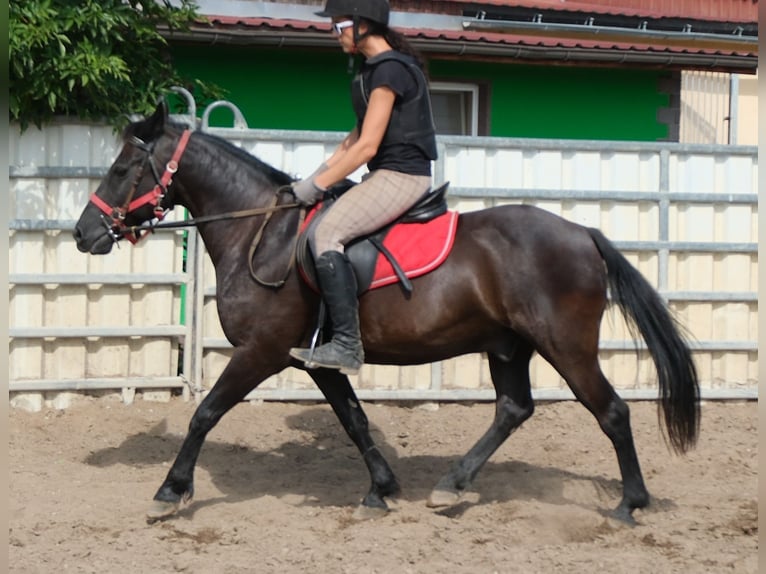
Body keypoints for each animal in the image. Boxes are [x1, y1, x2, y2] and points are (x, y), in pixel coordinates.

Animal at [73, 100, 700, 525]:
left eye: (123, 169)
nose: (83, 233)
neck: (261, 232)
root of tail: (582, 233)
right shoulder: (317, 360)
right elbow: (353, 420)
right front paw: (381, 488)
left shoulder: (262, 352)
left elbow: (204, 414)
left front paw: (169, 491)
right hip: (507, 345)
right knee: (513, 409)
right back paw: (451, 485)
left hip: (565, 345)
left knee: (611, 412)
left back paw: (630, 502)